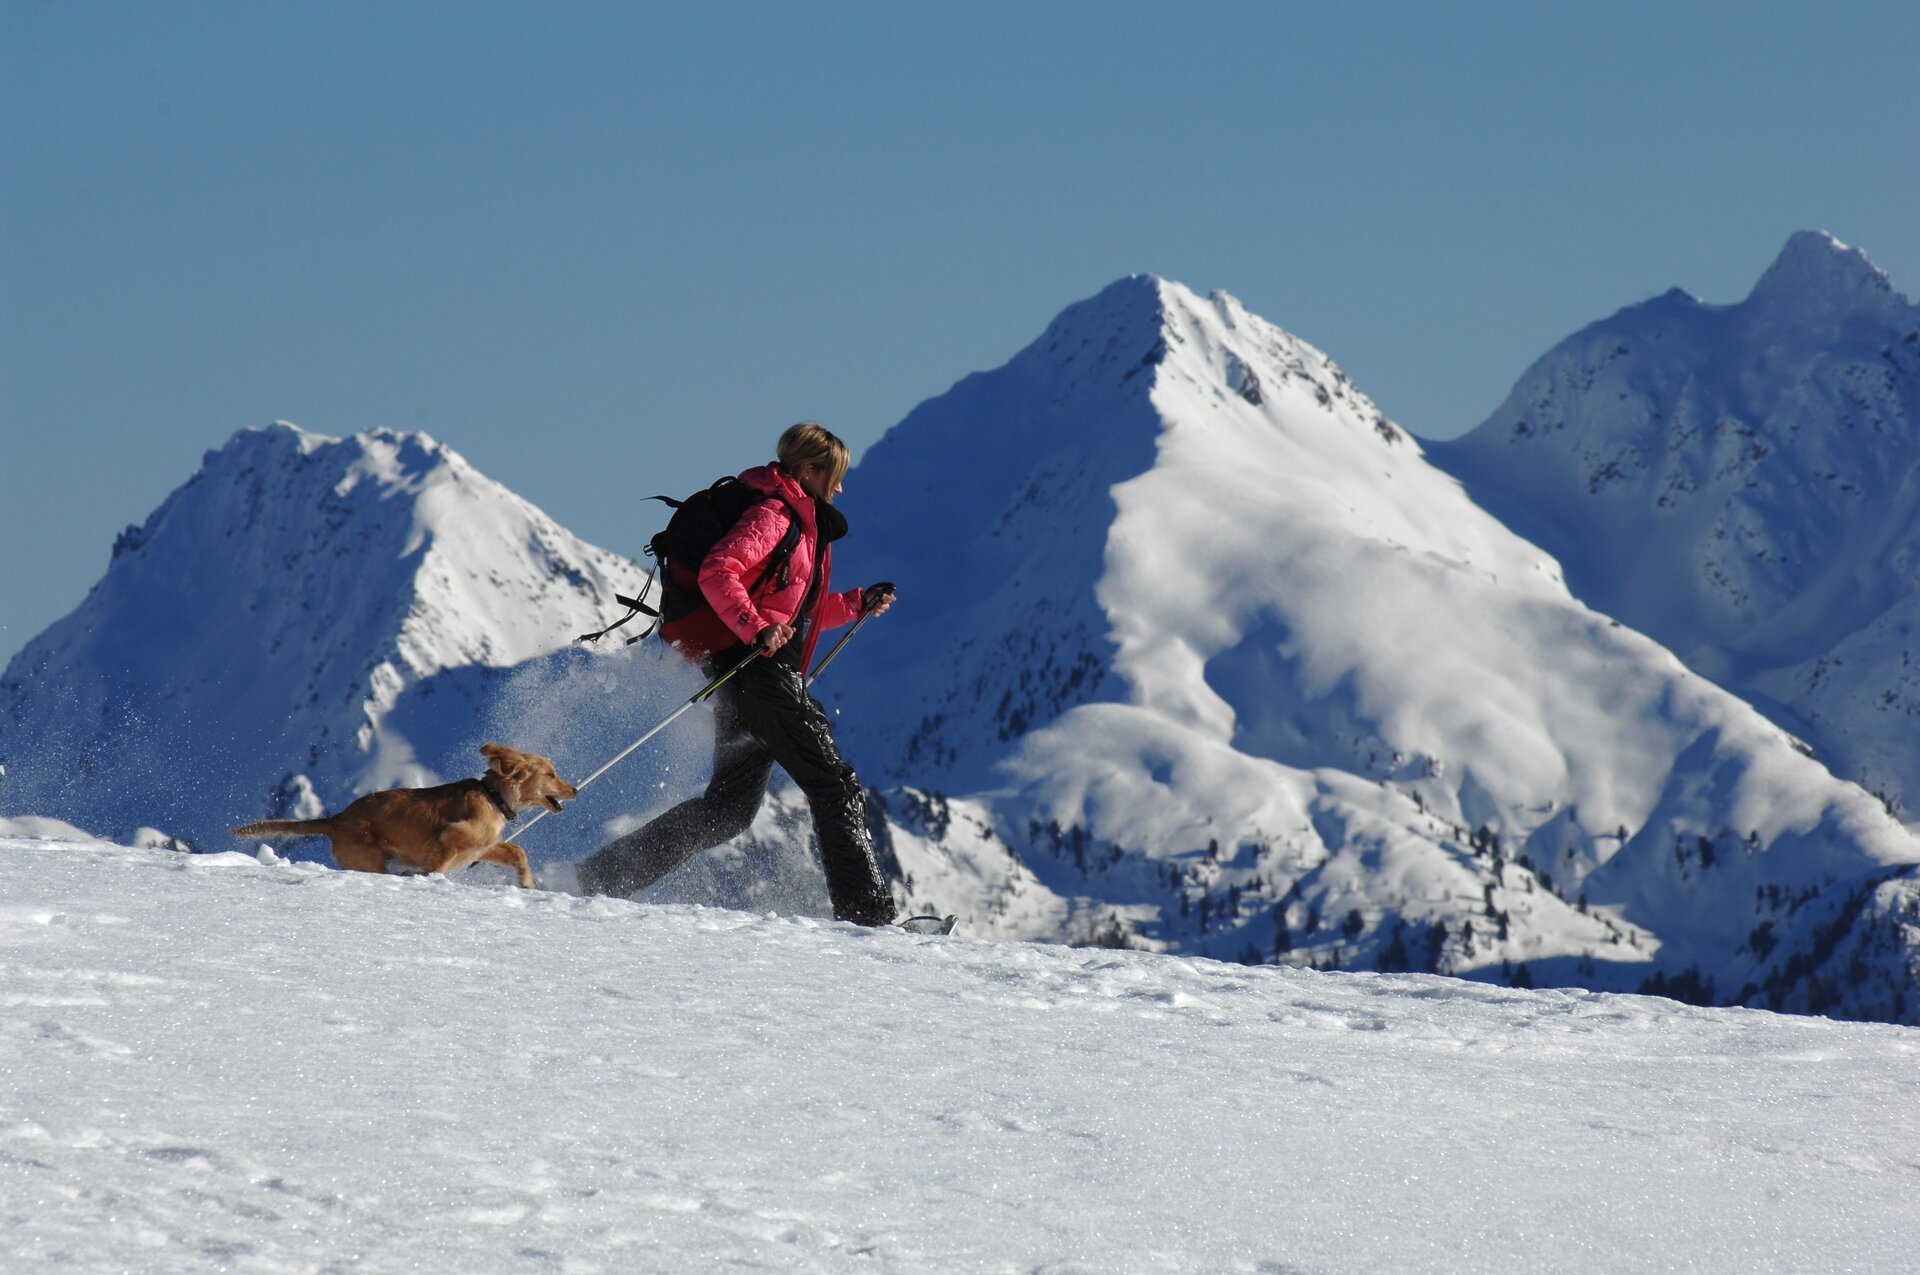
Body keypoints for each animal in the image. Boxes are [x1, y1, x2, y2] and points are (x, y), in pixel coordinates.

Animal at [230, 743, 577, 888]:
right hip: (370, 860)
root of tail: (337, 819)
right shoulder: (450, 839)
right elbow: (437, 865)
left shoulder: (483, 847)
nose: (574, 790)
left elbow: (517, 851)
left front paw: (526, 883)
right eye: (552, 774)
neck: (492, 797)